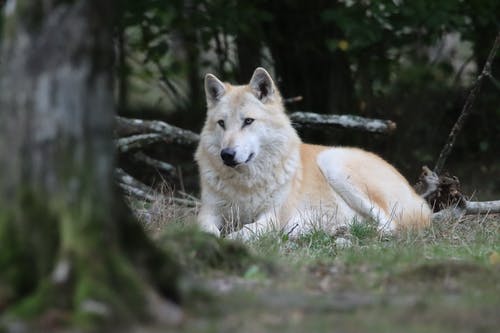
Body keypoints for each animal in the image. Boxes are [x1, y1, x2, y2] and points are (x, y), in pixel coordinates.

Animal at [194, 67, 430, 239]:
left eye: (248, 121)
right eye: (222, 123)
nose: (226, 154)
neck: (245, 184)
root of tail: (420, 200)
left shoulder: (273, 215)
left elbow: (245, 231)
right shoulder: (208, 212)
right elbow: (205, 230)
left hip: (333, 162)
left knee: (390, 225)